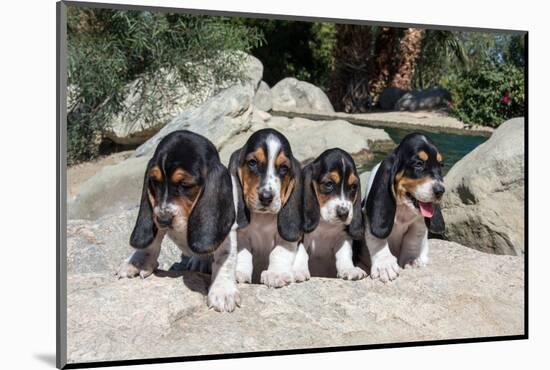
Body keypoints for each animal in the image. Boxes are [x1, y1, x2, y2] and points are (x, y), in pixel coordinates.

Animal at [115, 130, 240, 312]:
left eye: (185, 184)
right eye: (155, 182)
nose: (163, 219)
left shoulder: (228, 233)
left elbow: (225, 259)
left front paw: (223, 290)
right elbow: (152, 241)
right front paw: (137, 262)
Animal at [230, 129, 306, 288]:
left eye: (284, 168)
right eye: (252, 162)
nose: (266, 197)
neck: (262, 218)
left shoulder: (286, 239)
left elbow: (279, 252)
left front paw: (275, 274)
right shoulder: (241, 235)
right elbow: (243, 253)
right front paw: (239, 272)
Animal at [296, 147, 368, 280]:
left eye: (353, 187)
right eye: (328, 184)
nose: (344, 213)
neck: (326, 225)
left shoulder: (343, 236)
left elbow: (345, 253)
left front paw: (349, 269)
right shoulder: (302, 236)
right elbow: (301, 252)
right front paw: (298, 271)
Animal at [362, 132, 448, 282]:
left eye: (441, 165)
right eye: (419, 164)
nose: (440, 191)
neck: (403, 206)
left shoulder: (419, 223)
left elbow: (412, 239)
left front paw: (412, 261)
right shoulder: (369, 219)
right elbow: (378, 241)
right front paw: (385, 266)